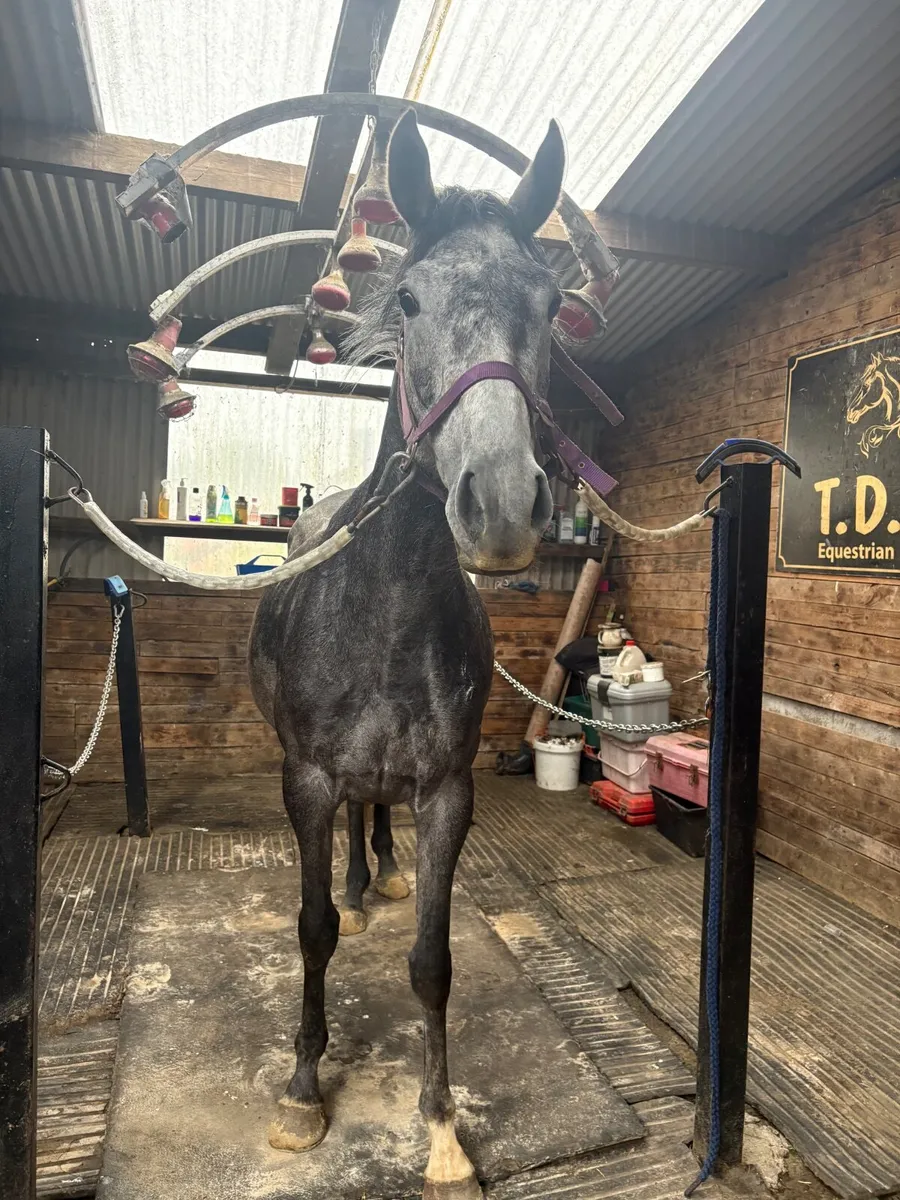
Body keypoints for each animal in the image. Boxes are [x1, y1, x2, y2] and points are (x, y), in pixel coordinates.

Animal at [249, 108, 565, 1200]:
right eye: (415, 298)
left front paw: (439, 1126)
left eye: (550, 303)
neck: (381, 612)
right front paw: (302, 1094)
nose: (503, 505)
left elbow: (432, 960)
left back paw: (376, 871)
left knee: (373, 817)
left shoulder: (445, 790)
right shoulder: (304, 777)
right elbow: (310, 930)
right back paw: (355, 883)